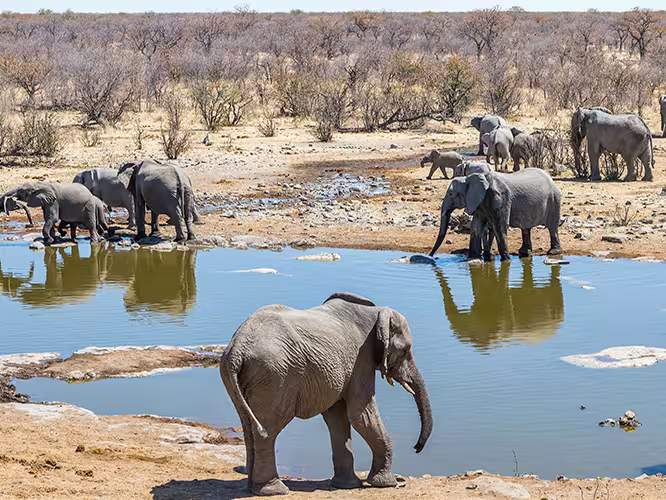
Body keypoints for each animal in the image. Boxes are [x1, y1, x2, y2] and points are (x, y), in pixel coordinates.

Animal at [220, 292, 432, 496]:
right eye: (405, 351)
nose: (416, 448)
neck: (377, 312)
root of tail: (238, 348)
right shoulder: (361, 360)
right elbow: (360, 415)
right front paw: (387, 484)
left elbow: (337, 418)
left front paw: (347, 486)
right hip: (274, 375)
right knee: (268, 430)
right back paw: (275, 491)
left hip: (241, 376)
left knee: (248, 427)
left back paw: (253, 489)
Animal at [430, 169, 562, 261]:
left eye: (451, 194)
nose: (431, 256)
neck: (471, 178)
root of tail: (551, 178)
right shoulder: (480, 201)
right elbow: (476, 226)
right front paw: (473, 258)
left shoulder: (500, 197)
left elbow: (500, 226)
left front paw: (506, 260)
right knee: (526, 228)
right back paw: (524, 253)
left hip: (554, 200)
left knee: (552, 227)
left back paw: (553, 253)